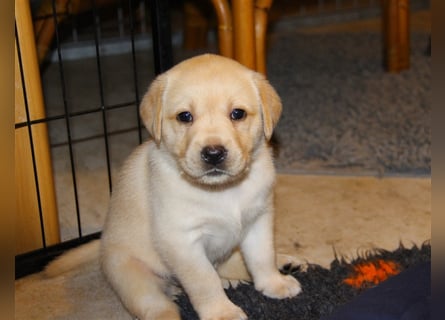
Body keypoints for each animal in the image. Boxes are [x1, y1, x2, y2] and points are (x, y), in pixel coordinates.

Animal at [46, 53, 300, 318]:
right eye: (185, 116)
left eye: (237, 113)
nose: (213, 153)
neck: (223, 190)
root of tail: (102, 244)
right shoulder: (182, 241)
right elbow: (204, 280)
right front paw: (222, 311)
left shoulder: (259, 220)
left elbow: (262, 257)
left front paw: (274, 283)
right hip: (132, 276)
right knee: (157, 304)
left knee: (230, 264)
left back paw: (283, 263)